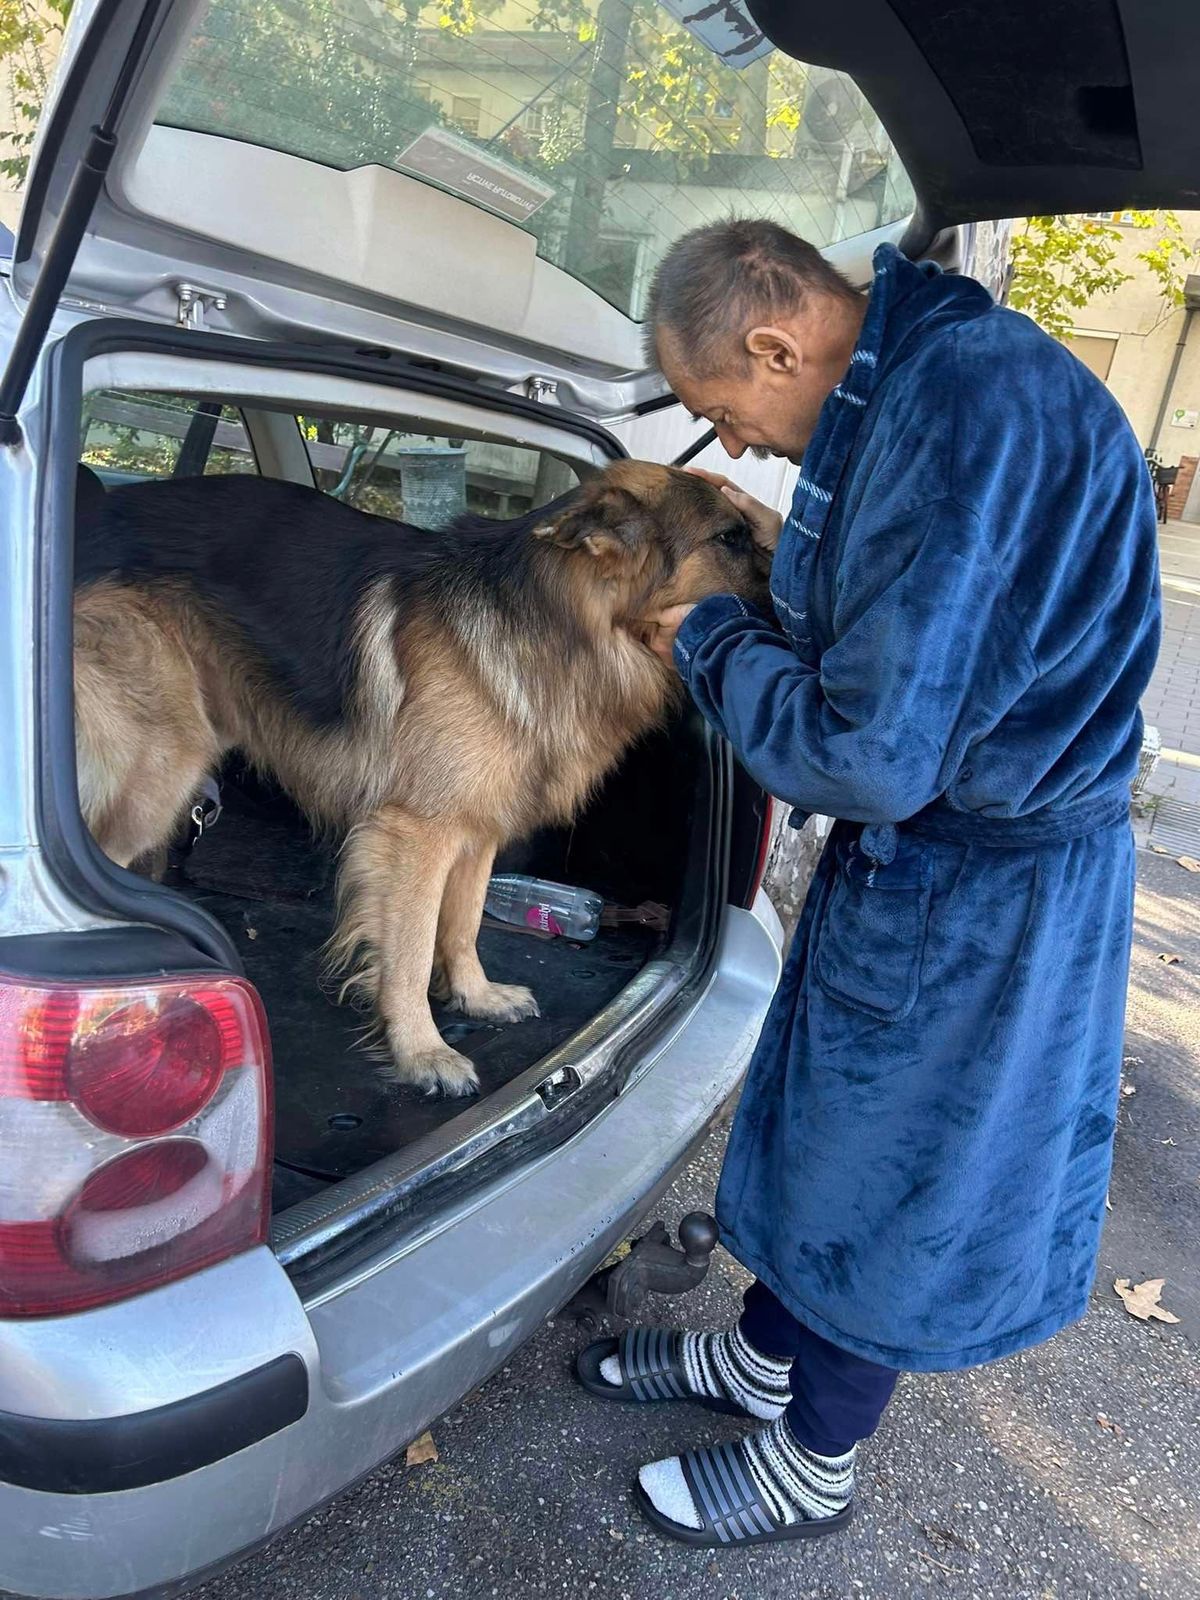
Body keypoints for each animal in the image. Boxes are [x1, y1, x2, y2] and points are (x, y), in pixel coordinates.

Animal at [72, 457, 771, 1094]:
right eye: (730, 538)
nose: (790, 617)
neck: (557, 621)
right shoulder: (416, 835)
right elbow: (408, 950)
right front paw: (421, 1050)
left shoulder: (477, 827)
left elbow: (462, 924)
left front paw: (475, 996)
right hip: (157, 769)